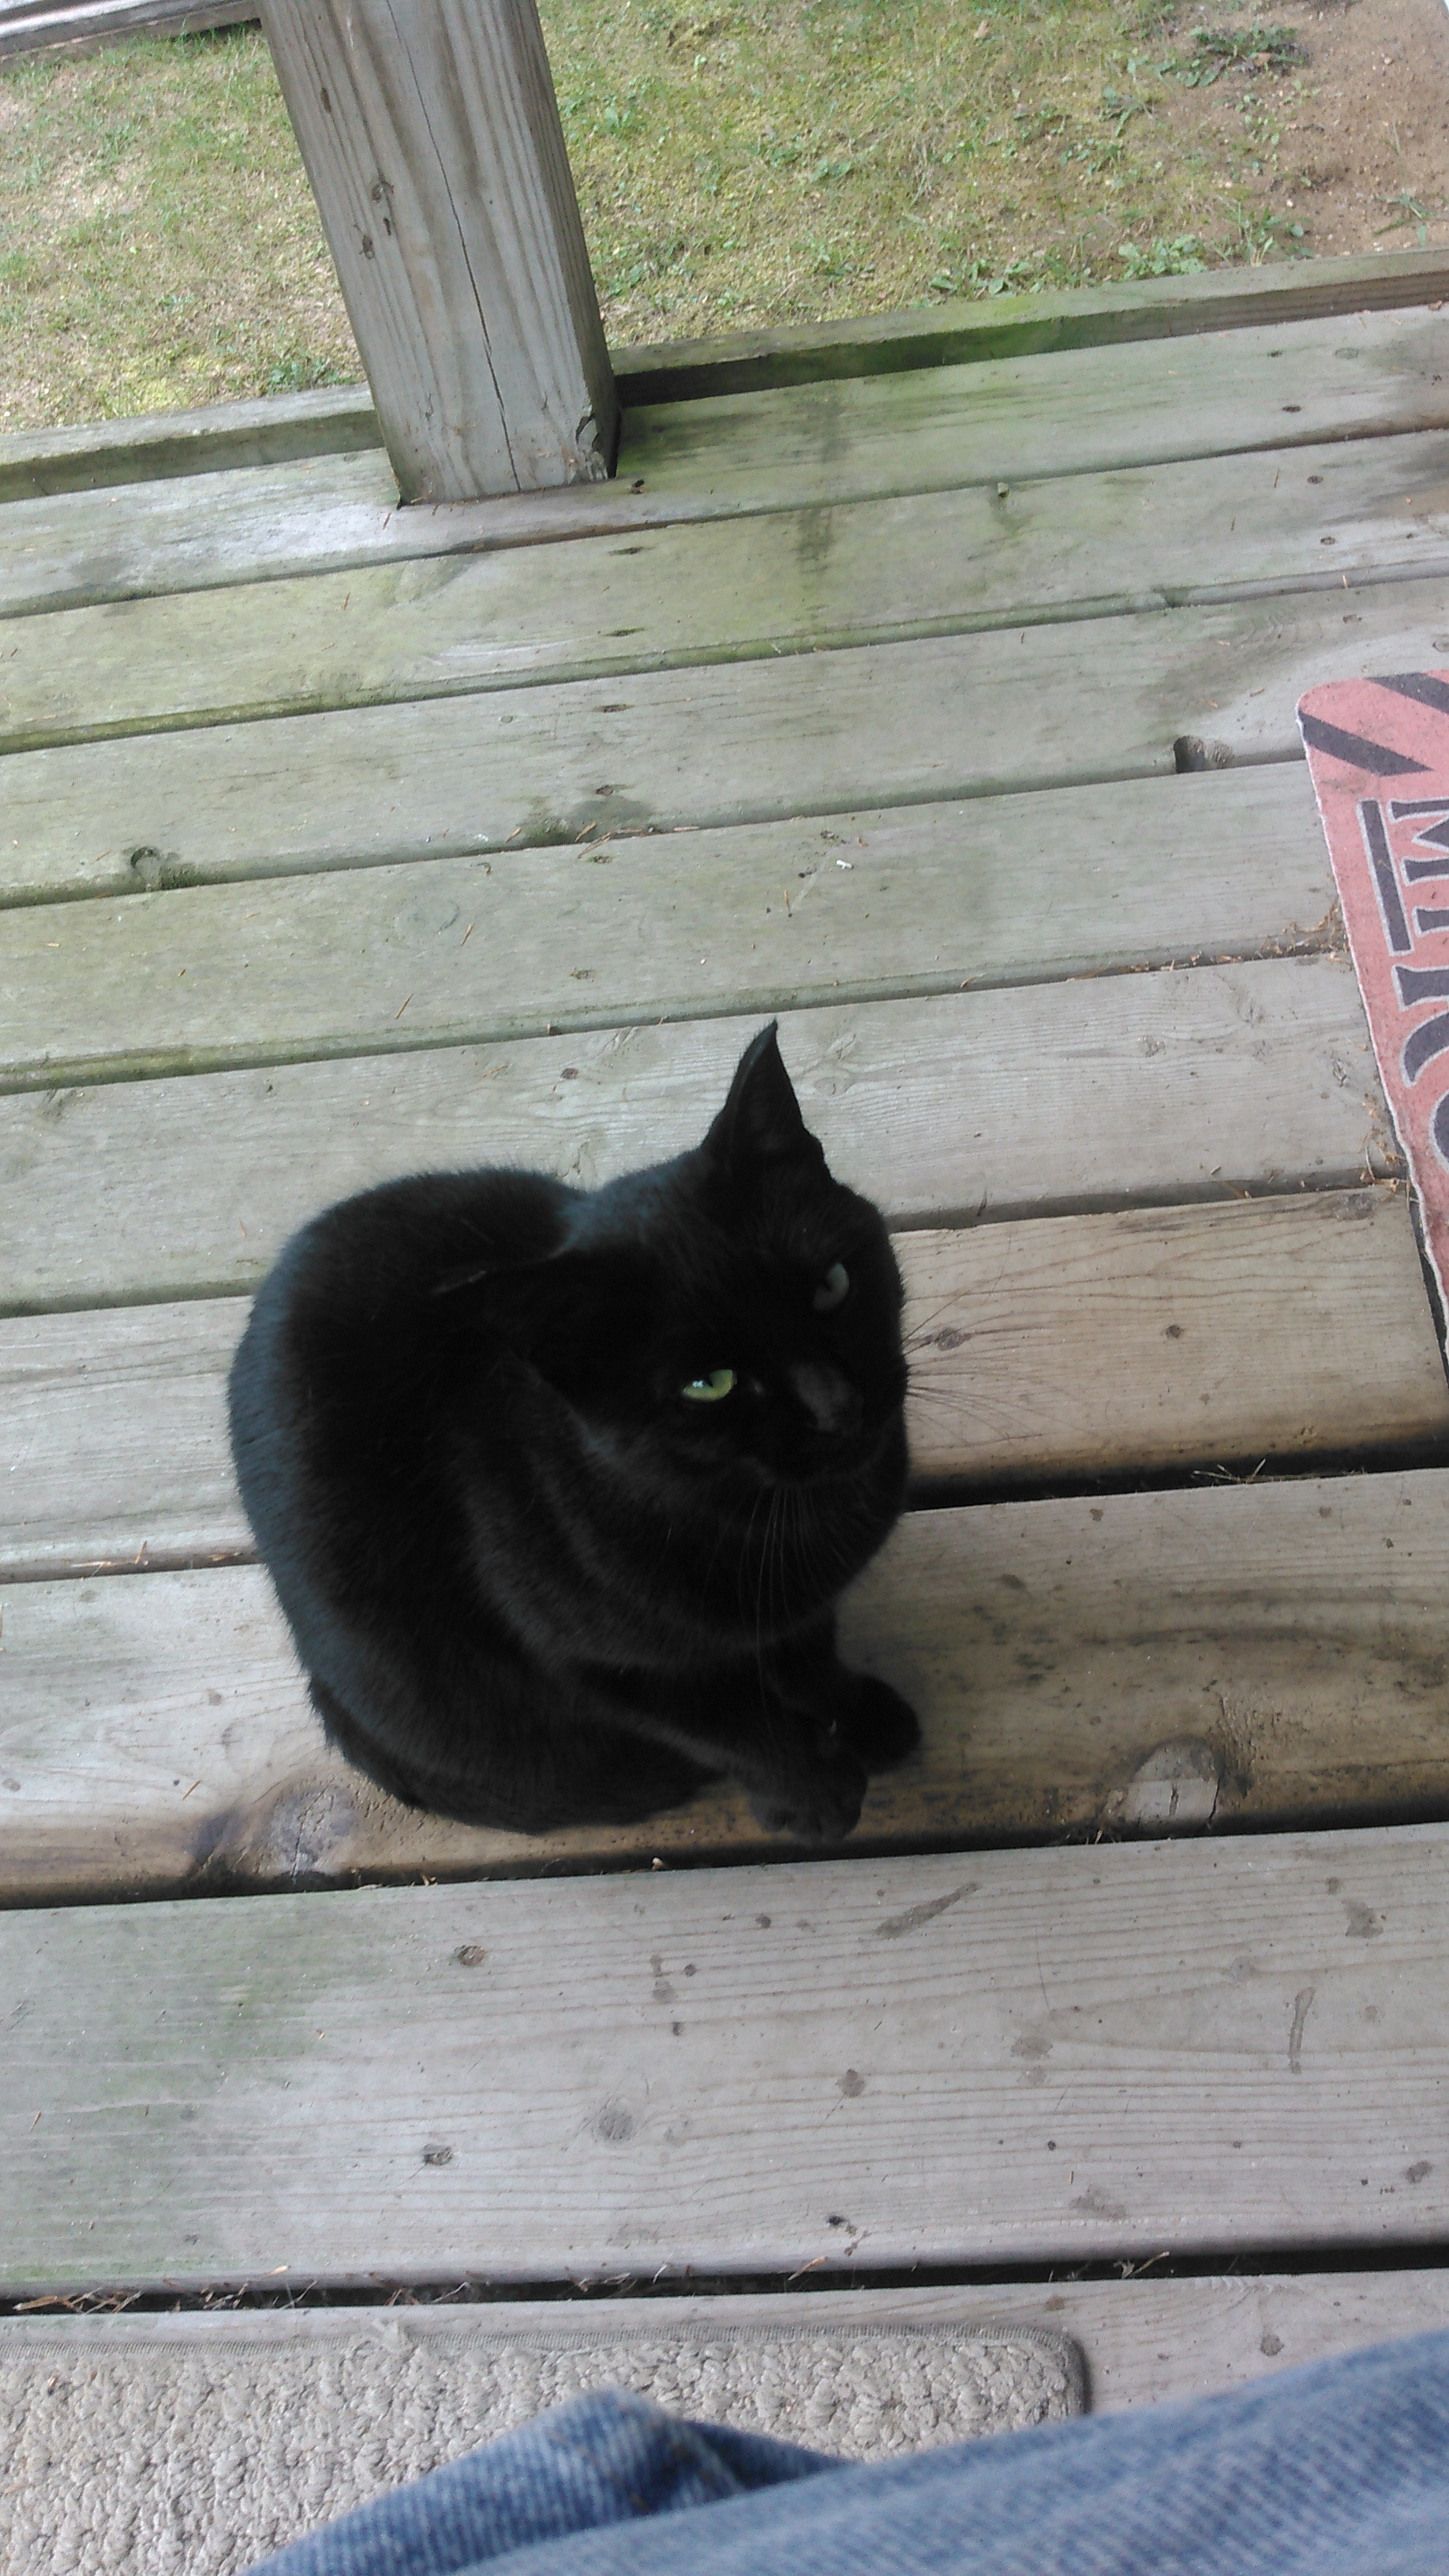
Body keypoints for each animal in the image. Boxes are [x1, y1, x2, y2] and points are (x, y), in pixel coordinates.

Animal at [227, 1023, 918, 1844]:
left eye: (832, 1285)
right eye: (709, 1384)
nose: (838, 1405)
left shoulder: (798, 1612)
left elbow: (811, 1661)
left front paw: (862, 1717)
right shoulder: (603, 1668)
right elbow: (739, 1731)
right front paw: (810, 1791)